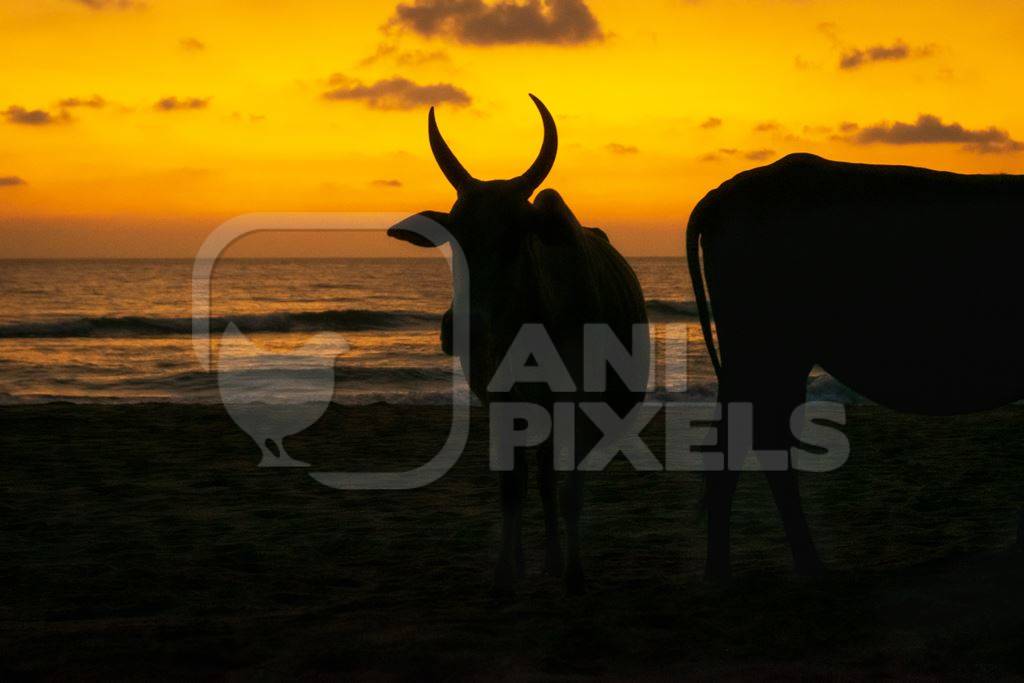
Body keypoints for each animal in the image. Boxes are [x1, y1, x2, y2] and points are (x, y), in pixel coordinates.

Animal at [387, 93, 643, 593]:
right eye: (453, 239)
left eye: (513, 238)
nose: (460, 329)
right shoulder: (504, 403)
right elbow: (511, 487)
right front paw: (506, 571)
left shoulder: (578, 404)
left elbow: (568, 489)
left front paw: (573, 573)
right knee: (531, 477)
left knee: (550, 479)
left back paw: (556, 561)